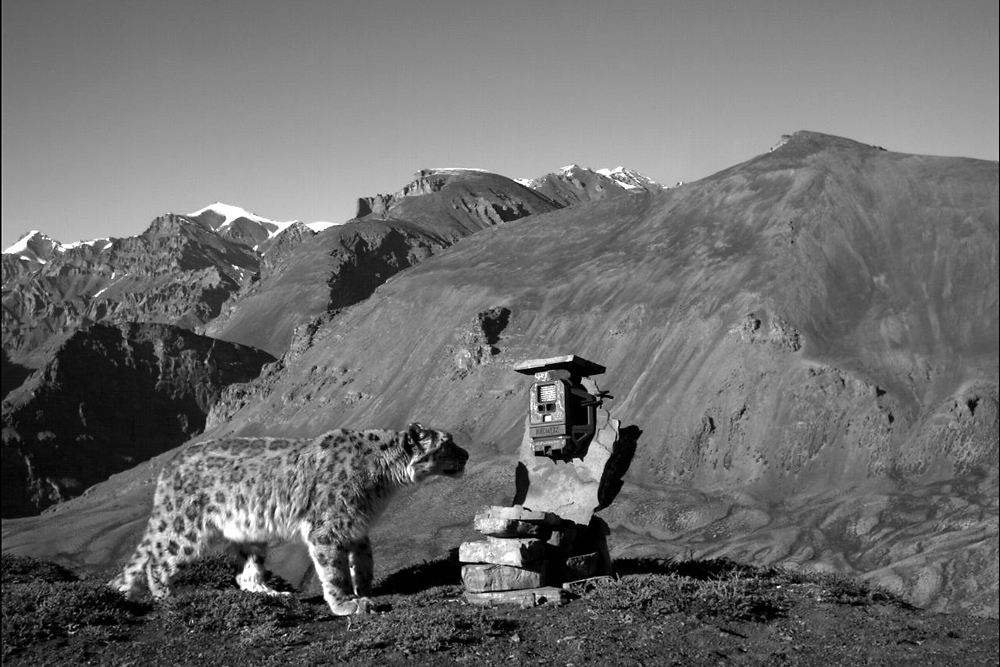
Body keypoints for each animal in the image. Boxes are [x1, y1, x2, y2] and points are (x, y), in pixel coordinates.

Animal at [110, 423, 469, 615]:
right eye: (448, 444)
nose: (466, 454)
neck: (385, 483)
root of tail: (170, 464)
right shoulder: (328, 529)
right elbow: (334, 571)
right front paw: (345, 603)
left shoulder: (356, 527)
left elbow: (364, 562)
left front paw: (365, 590)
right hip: (186, 529)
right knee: (157, 561)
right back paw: (169, 598)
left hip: (250, 535)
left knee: (244, 573)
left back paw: (270, 593)